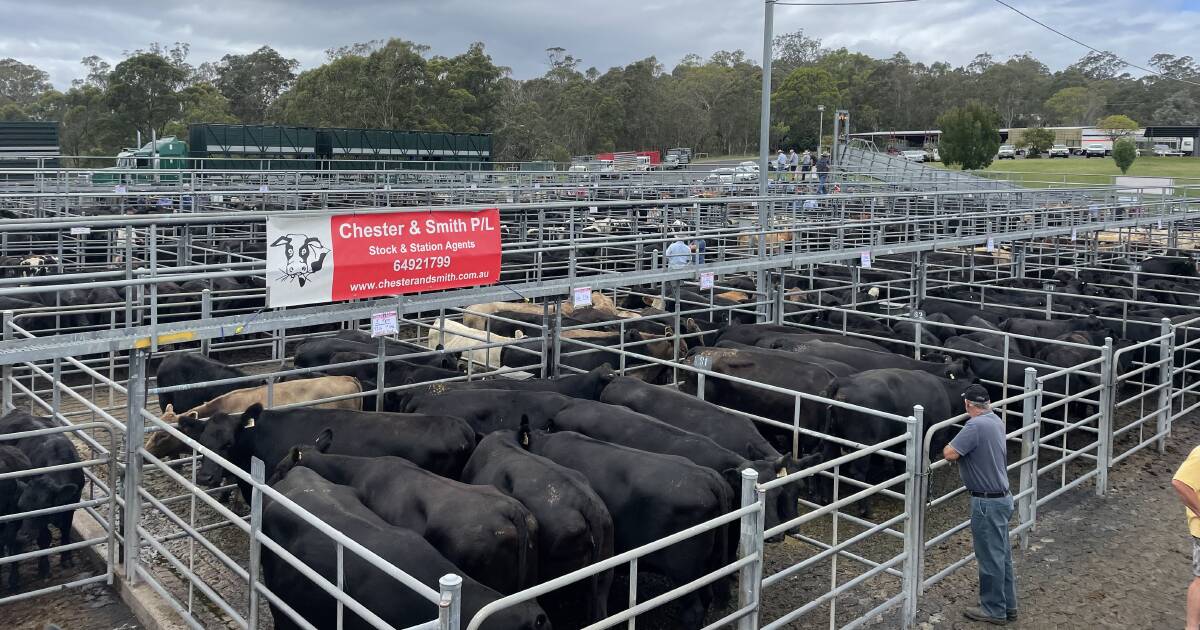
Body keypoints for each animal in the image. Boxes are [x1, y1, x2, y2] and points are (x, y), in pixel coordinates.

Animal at [0, 410, 83, 583]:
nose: (22, 536)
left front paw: (67, 559)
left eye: (43, 508)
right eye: (21, 507)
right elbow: (45, 538)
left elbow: (65, 531)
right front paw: (44, 568)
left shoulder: (72, 504)